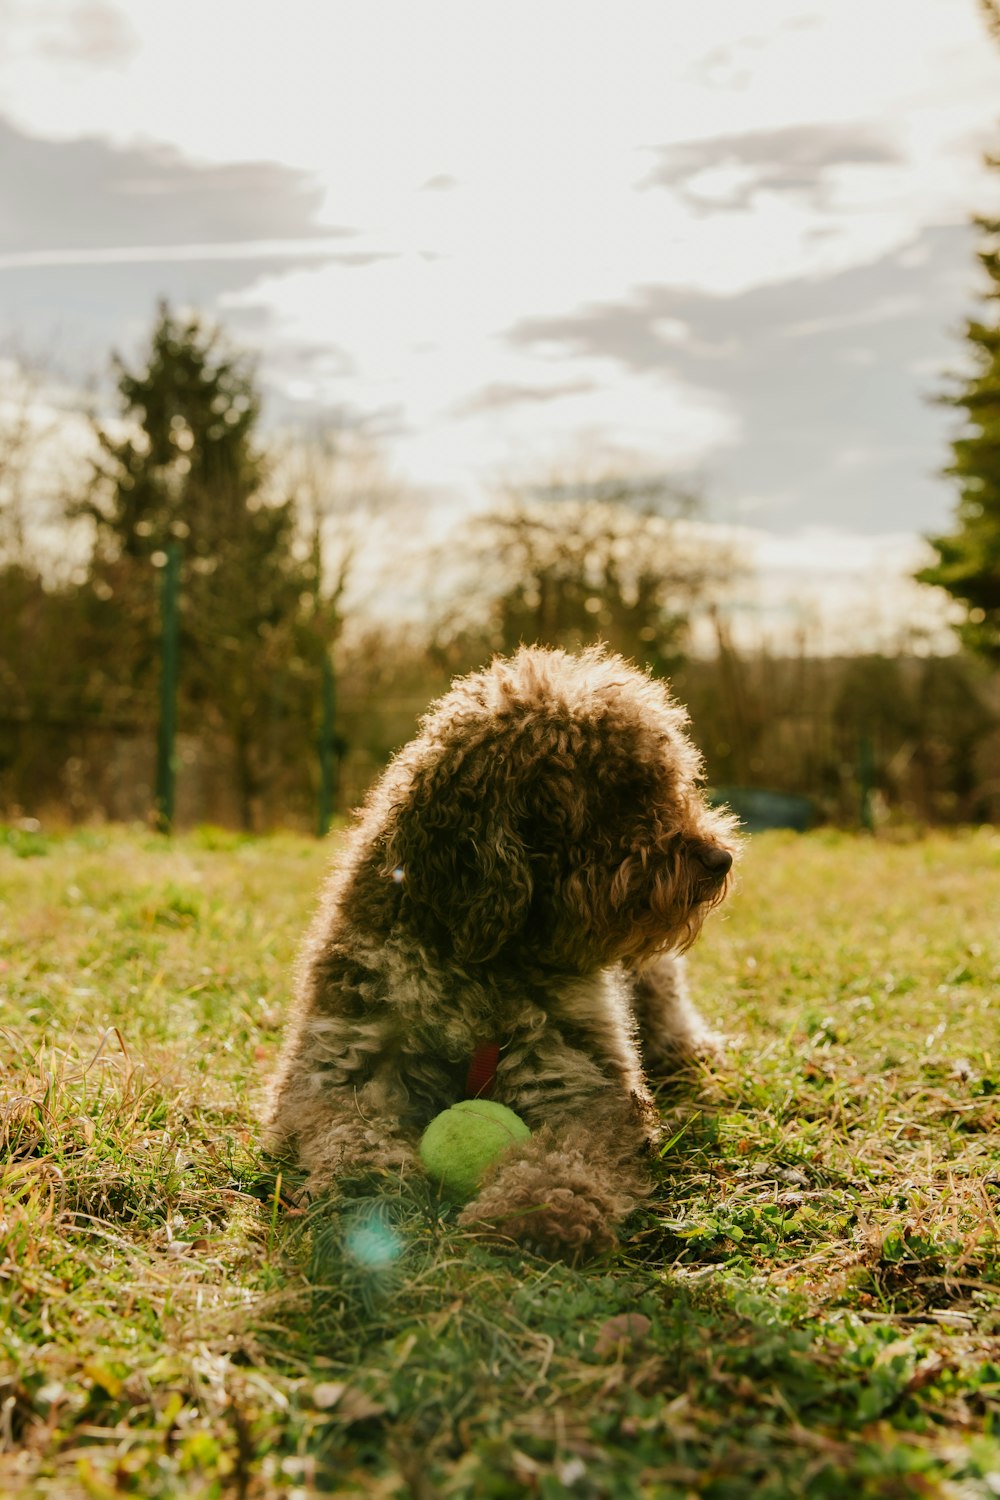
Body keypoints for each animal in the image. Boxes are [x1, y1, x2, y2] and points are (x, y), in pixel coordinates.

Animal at [265, 642, 734, 1254]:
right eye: (623, 794)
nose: (720, 858)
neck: (481, 958)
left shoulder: (580, 1082)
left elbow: (570, 1155)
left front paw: (539, 1208)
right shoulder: (341, 1067)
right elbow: (350, 1130)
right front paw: (364, 1181)